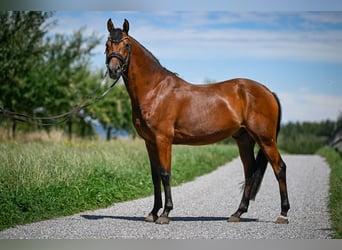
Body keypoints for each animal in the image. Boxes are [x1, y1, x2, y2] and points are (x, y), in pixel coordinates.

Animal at [104, 18, 288, 225]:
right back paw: (237, 213)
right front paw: (153, 212)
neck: (155, 90)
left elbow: (165, 174)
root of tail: (268, 91)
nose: (113, 70)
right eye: (107, 44)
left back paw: (283, 214)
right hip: (244, 139)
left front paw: (165, 213)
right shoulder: (150, 142)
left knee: (280, 168)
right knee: (249, 172)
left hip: (265, 139)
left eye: (126, 44)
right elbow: (155, 176)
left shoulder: (163, 140)